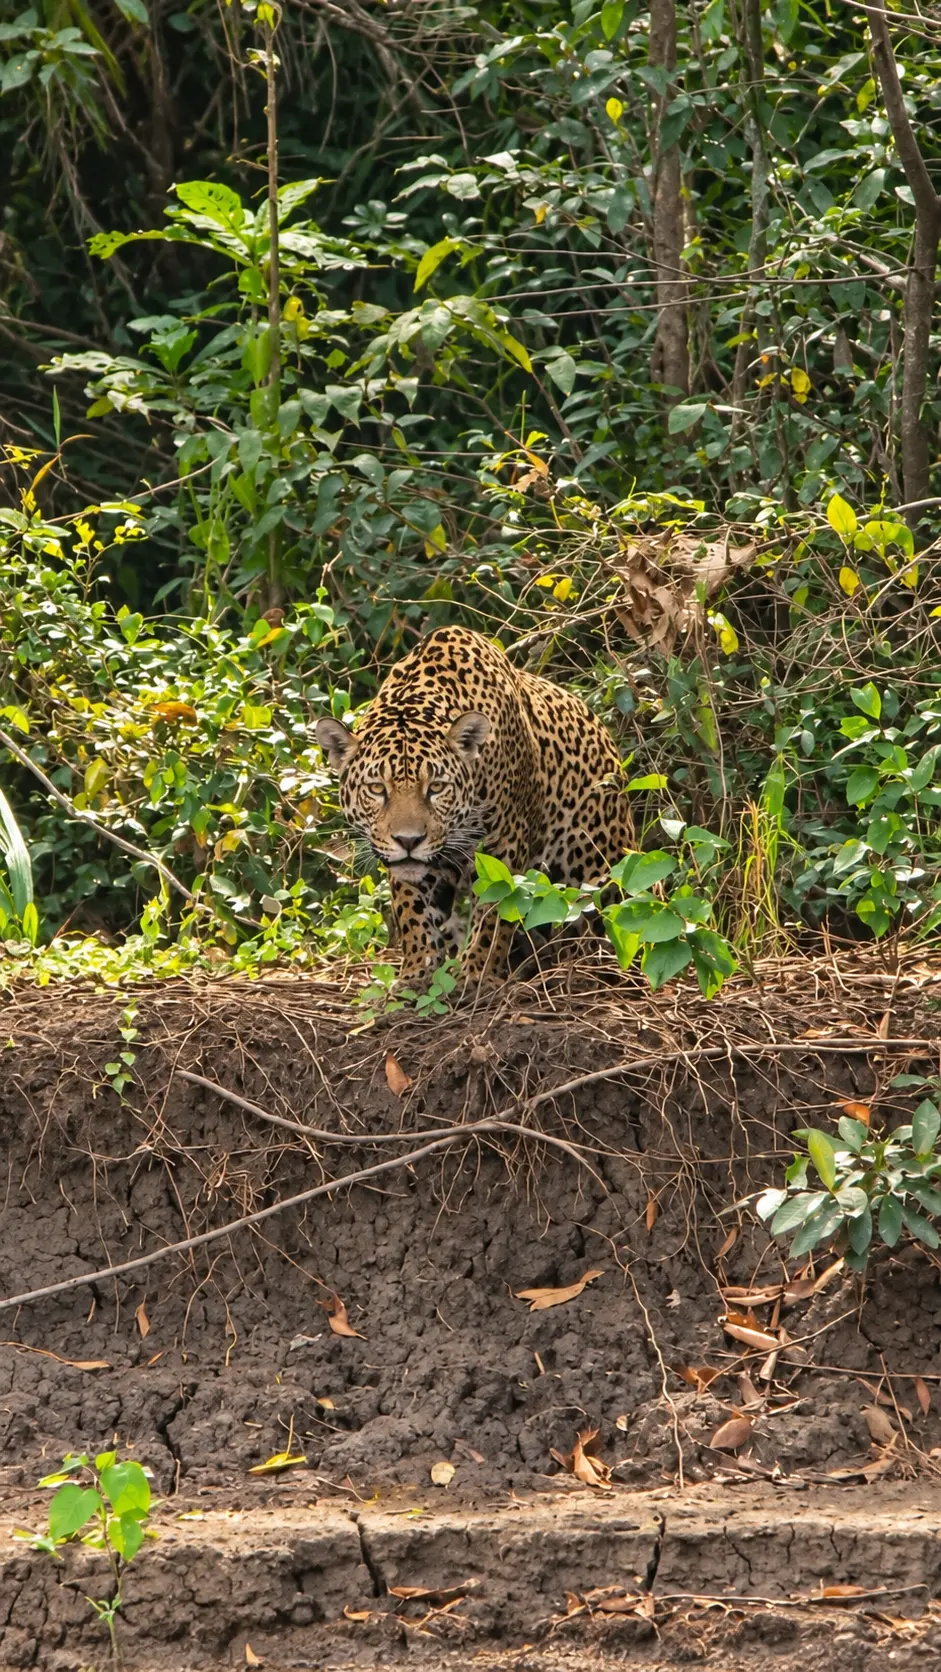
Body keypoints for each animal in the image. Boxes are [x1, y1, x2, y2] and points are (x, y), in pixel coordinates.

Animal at [316, 624, 632, 986]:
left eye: (436, 788)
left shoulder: (506, 841)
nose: (409, 841)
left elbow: (496, 911)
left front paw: (477, 973)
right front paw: (416, 973)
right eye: (377, 789)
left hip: (594, 866)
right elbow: (413, 913)